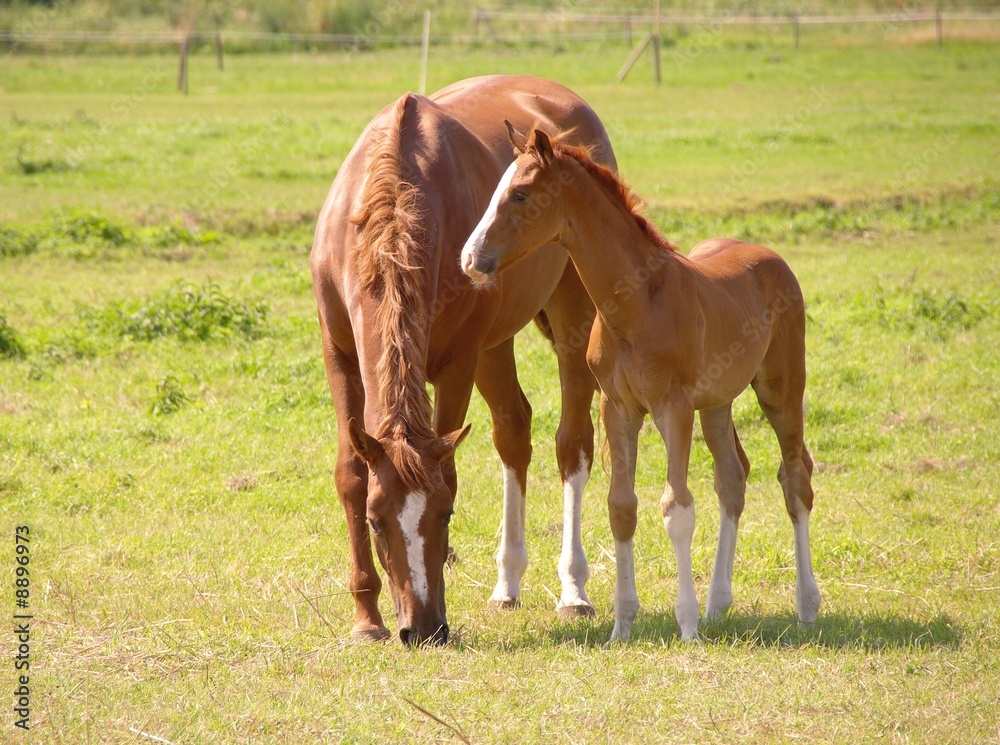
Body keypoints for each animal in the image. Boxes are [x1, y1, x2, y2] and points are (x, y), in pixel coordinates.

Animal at [310, 78, 617, 645]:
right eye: (375, 521)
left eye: (446, 515)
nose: (422, 628)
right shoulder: (338, 353)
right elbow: (351, 472)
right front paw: (366, 616)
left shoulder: (458, 362)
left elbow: (448, 467)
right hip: (495, 347)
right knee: (514, 431)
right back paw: (507, 584)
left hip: (567, 318)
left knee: (572, 444)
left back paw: (573, 590)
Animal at [461, 126, 820, 642]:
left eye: (521, 194)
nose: (471, 259)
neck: (636, 304)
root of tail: (769, 256)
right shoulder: (619, 407)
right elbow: (621, 507)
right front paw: (622, 623)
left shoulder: (674, 408)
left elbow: (677, 508)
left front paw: (686, 624)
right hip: (717, 403)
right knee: (732, 478)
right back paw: (718, 602)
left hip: (780, 390)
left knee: (795, 478)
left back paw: (806, 604)